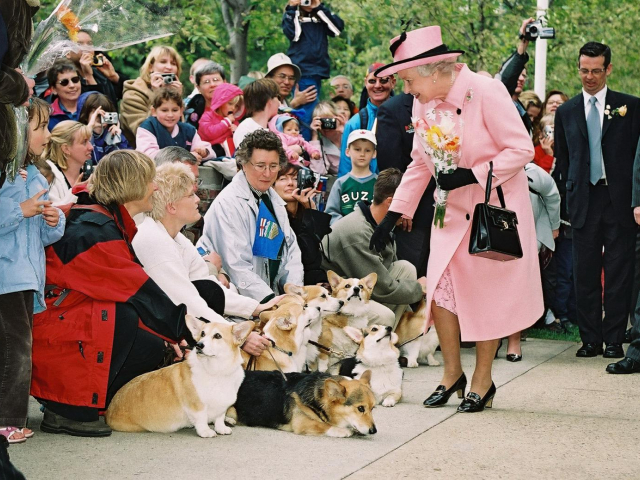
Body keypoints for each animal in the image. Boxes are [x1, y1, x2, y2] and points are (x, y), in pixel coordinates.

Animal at [105, 316, 252, 436]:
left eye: (217, 336)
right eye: (202, 334)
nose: (199, 345)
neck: (216, 371)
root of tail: (108, 411)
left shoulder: (222, 406)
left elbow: (219, 418)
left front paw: (221, 428)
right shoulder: (196, 406)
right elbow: (201, 418)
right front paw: (206, 432)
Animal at [229, 370, 376, 436]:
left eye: (373, 408)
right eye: (360, 408)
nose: (374, 431)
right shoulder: (302, 423)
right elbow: (323, 425)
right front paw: (343, 430)